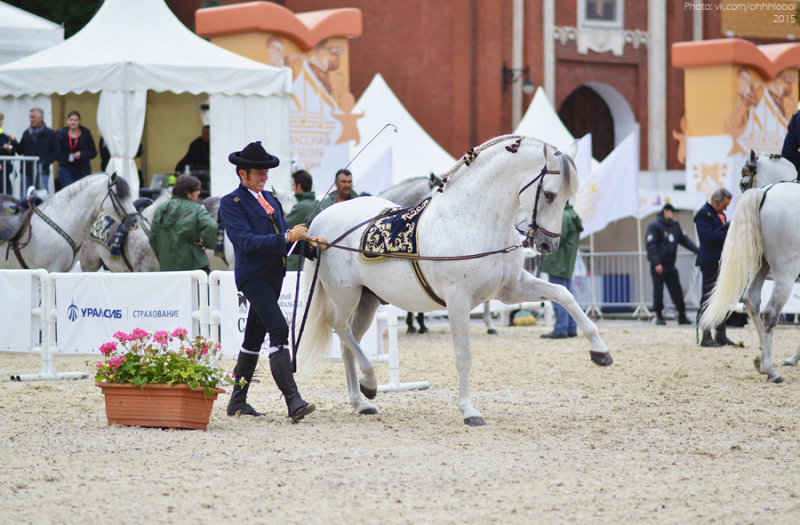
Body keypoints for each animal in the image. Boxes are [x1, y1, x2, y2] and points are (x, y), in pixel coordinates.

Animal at [298, 135, 612, 426]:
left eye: (567, 197)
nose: (548, 245)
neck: (473, 221)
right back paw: (370, 382)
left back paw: (361, 401)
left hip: (368, 300)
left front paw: (600, 351)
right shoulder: (458, 301)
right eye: (548, 194)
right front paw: (469, 411)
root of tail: (320, 221)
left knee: (347, 342)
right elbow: (464, 356)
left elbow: (563, 294)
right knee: (339, 327)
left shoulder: (511, 289)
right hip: (346, 295)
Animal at [700, 182, 800, 382]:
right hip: (786, 272)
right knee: (770, 312)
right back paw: (770, 370)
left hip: (762, 265)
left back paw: (761, 361)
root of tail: (766, 191)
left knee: (751, 300)